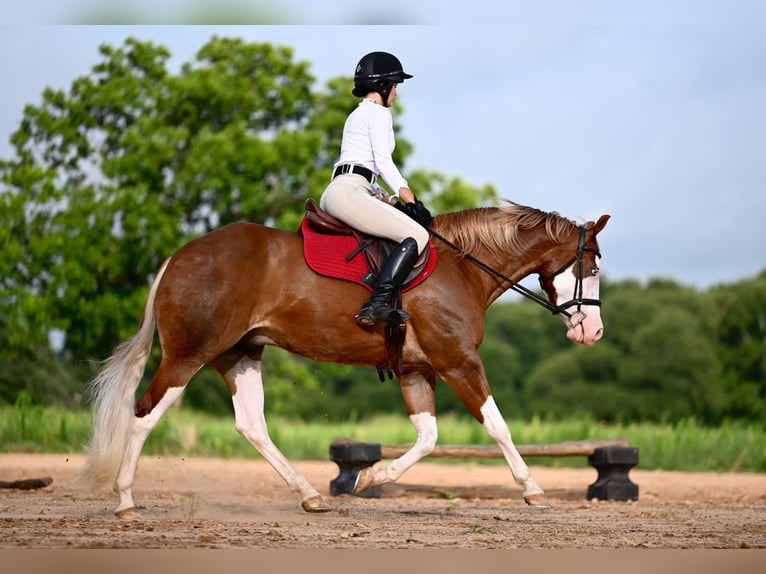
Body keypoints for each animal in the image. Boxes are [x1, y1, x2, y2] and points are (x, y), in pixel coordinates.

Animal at [84, 200, 612, 520]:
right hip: (190, 353)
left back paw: (310, 495)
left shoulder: (417, 370)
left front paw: (368, 477)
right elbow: (497, 426)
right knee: (145, 413)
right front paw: (532, 488)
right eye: (591, 266)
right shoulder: (458, 362)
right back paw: (126, 501)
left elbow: (428, 438)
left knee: (251, 425)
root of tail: (179, 257)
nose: (594, 332)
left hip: (241, 355)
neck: (465, 266)